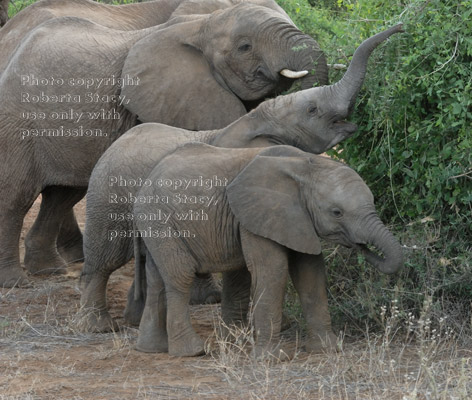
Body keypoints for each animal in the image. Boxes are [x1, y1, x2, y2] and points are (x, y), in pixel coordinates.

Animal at [0, 2, 328, 288]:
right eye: (245, 47)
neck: (203, 26)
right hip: (18, 123)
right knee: (17, 196)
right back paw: (16, 282)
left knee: (62, 194)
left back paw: (49, 270)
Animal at [79, 23, 404, 332]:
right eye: (312, 110)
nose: (400, 27)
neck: (253, 121)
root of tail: (117, 144)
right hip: (109, 195)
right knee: (105, 258)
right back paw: (99, 326)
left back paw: (136, 320)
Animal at [132, 143, 402, 356]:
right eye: (337, 212)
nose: (362, 246)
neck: (305, 165)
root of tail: (145, 182)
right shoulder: (256, 215)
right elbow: (272, 269)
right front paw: (272, 359)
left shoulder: (296, 218)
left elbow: (310, 272)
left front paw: (328, 350)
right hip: (162, 222)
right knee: (180, 276)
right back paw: (192, 352)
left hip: (154, 223)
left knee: (156, 279)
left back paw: (151, 349)